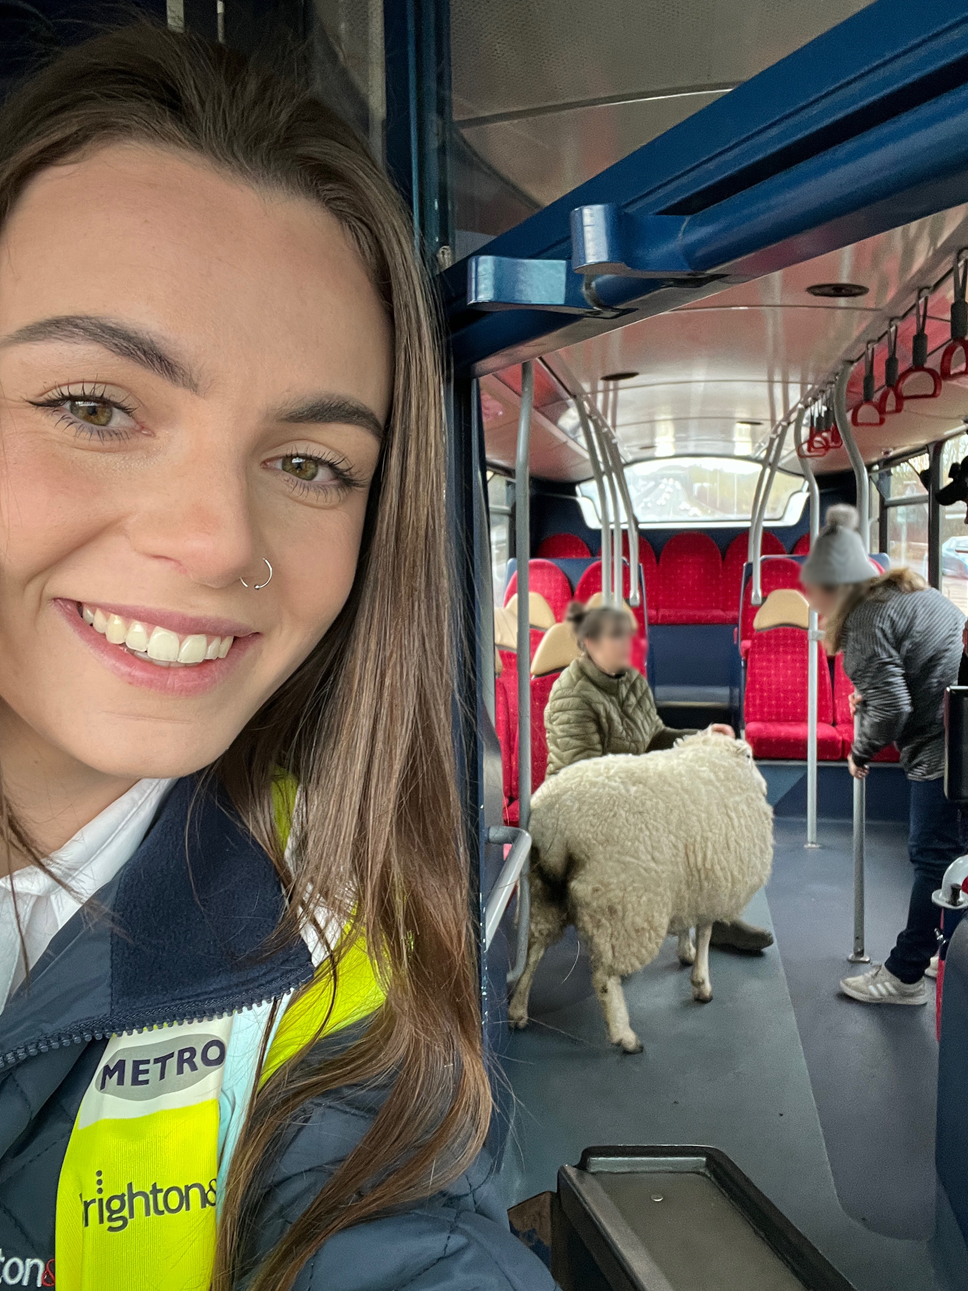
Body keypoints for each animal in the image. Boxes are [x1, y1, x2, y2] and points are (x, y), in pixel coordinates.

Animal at [508, 733, 774, 1053]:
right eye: (750, 757)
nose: (766, 786)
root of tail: (554, 819)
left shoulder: (689, 877)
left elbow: (688, 923)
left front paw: (686, 952)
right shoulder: (711, 883)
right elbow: (706, 931)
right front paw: (701, 983)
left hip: (540, 890)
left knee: (531, 951)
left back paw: (517, 1009)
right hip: (619, 898)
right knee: (604, 975)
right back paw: (625, 1035)